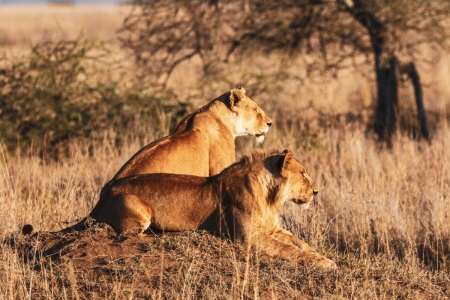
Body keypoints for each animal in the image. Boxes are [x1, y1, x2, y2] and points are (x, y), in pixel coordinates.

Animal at [89, 150, 336, 270]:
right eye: (303, 173)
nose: (316, 191)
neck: (270, 197)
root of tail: (105, 190)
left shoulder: (272, 228)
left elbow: (300, 243)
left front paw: (323, 257)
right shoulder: (247, 236)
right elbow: (288, 249)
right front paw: (324, 263)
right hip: (139, 210)